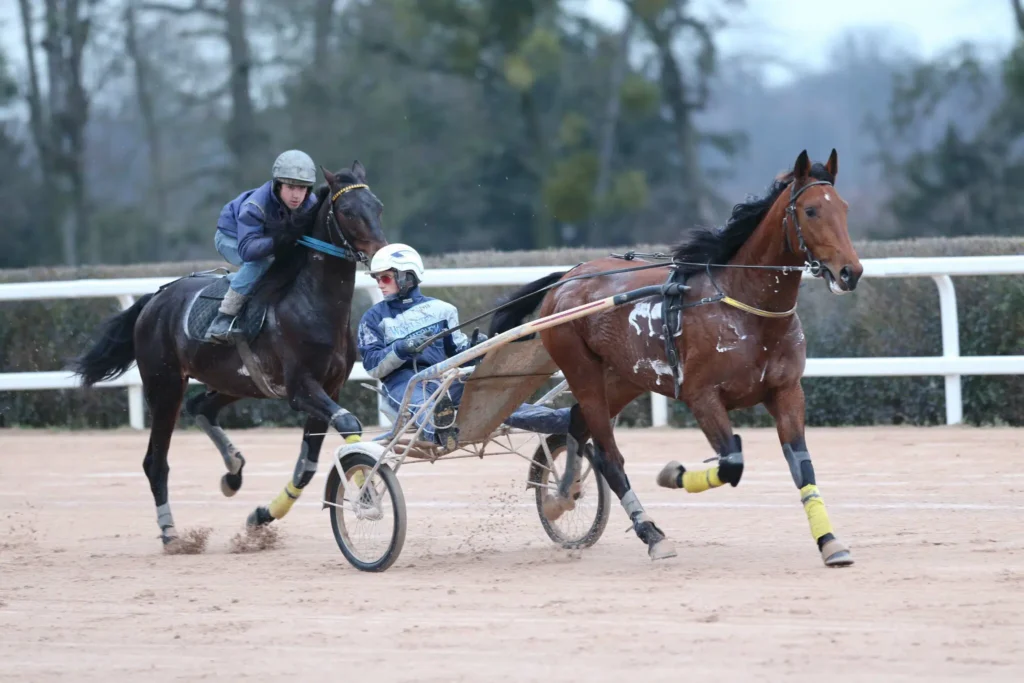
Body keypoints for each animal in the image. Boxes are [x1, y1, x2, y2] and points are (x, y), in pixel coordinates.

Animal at [70, 160, 385, 548]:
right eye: (348, 211)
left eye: (377, 207)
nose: (382, 253)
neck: (312, 304)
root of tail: (155, 298)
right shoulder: (301, 389)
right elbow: (348, 424)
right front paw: (367, 495)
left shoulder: (332, 386)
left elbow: (307, 466)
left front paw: (261, 516)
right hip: (164, 386)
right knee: (155, 460)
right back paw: (170, 532)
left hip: (234, 382)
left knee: (200, 407)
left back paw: (233, 471)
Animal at [491, 152, 860, 569]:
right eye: (811, 210)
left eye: (844, 208)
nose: (850, 271)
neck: (744, 306)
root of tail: (566, 279)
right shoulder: (703, 396)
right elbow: (731, 463)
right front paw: (671, 474)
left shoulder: (786, 391)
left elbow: (802, 465)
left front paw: (830, 542)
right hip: (582, 371)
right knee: (609, 456)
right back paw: (651, 534)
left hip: (624, 378)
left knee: (577, 424)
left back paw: (562, 494)